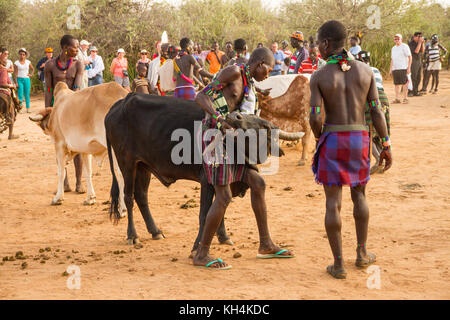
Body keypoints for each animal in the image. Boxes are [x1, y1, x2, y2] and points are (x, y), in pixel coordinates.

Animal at [105, 93, 302, 252]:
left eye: (264, 126)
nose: (234, 116)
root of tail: (121, 103)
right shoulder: (206, 180)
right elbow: (205, 214)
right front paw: (198, 245)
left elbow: (222, 208)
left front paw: (223, 236)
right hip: (127, 163)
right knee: (128, 197)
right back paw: (132, 235)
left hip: (143, 166)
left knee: (141, 196)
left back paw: (155, 231)